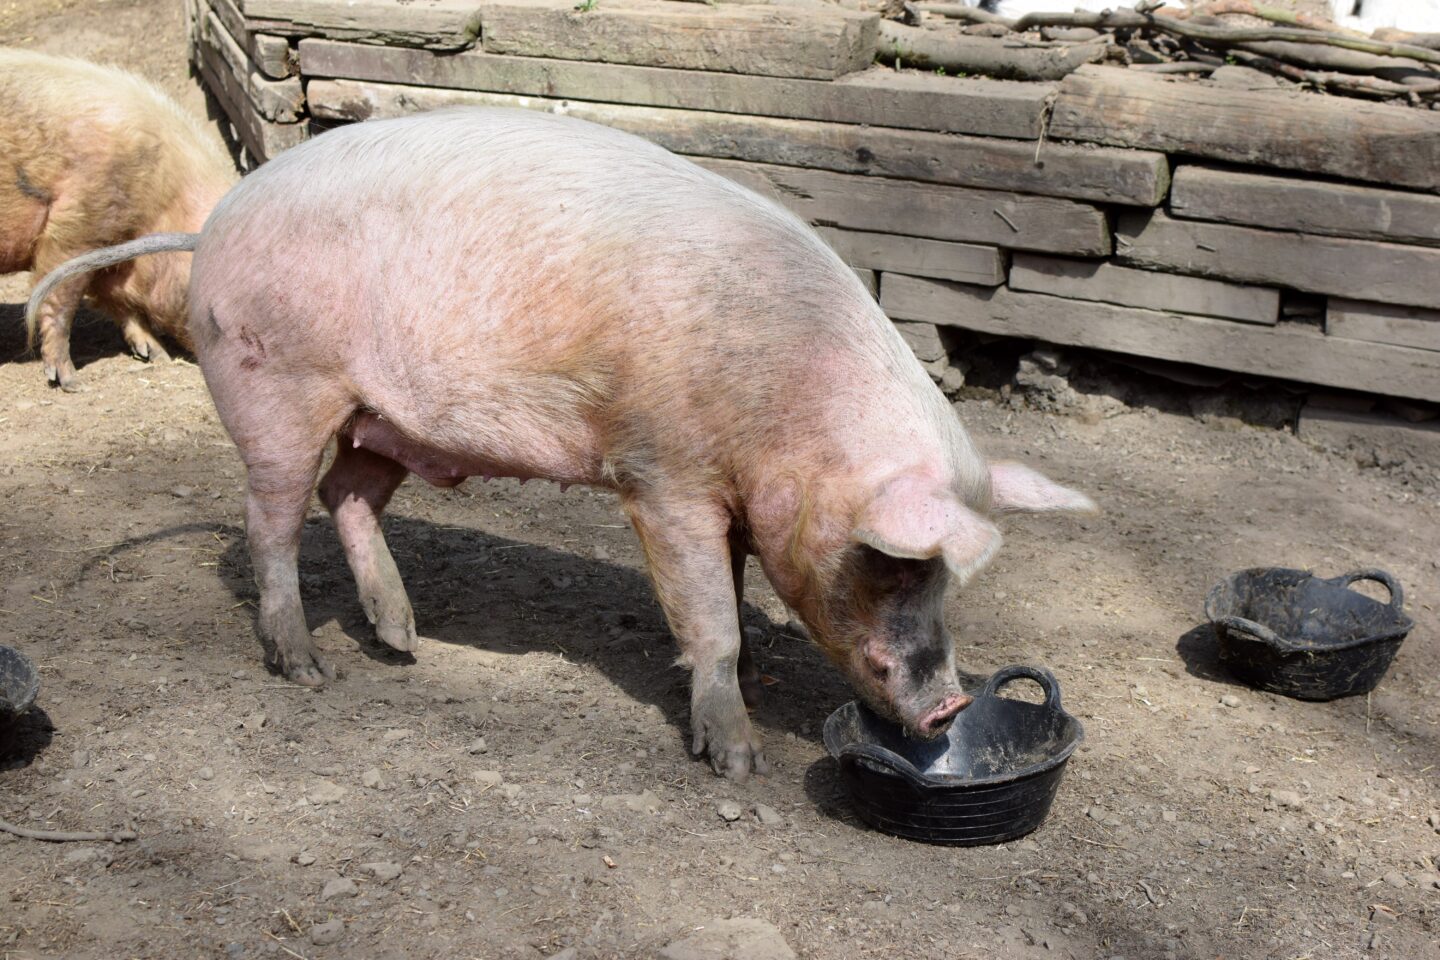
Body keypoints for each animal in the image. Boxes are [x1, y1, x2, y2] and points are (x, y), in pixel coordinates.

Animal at [29, 108, 1095, 781]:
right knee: (272, 521)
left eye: (939, 577)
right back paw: (306, 667)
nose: (948, 707)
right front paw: (737, 761)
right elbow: (708, 614)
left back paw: (404, 642)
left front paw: (747, 672)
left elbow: (732, 589)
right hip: (277, 387)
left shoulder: (725, 497)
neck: (789, 408)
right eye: (893, 563)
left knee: (348, 497)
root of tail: (213, 223)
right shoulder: (662, 474)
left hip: (385, 418)